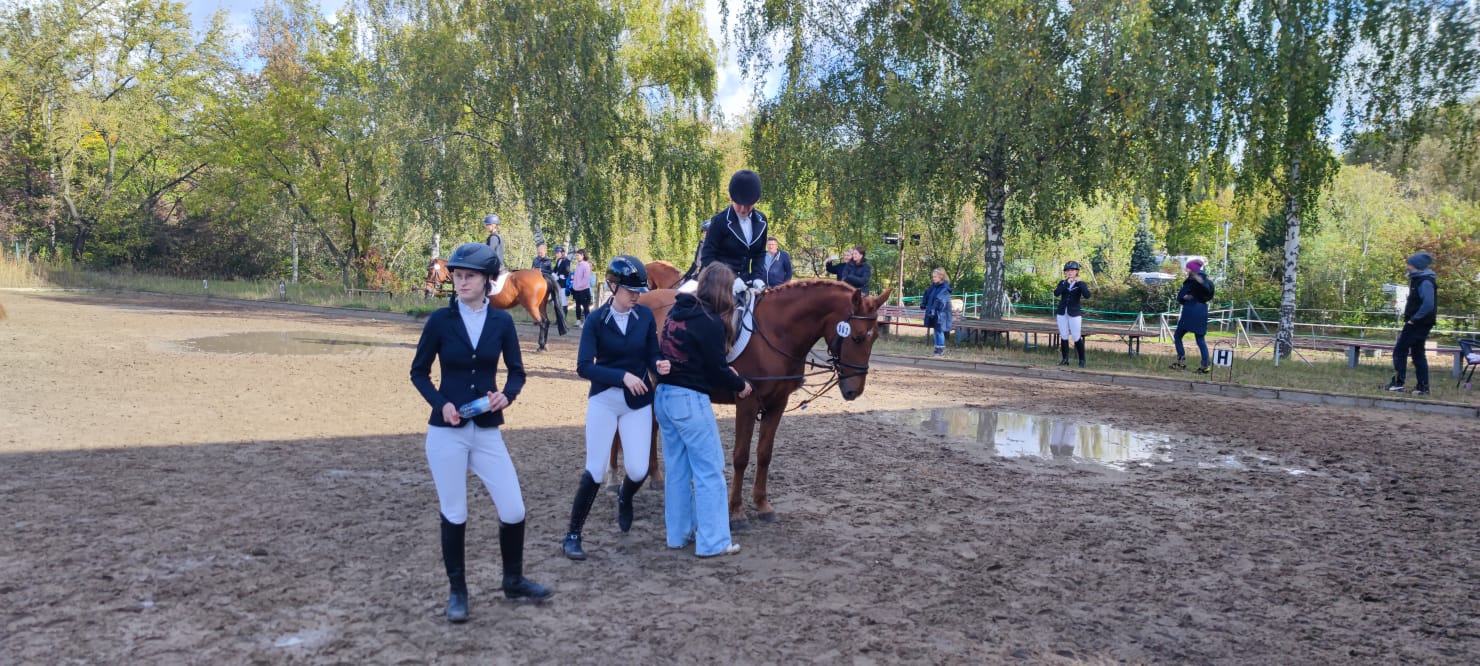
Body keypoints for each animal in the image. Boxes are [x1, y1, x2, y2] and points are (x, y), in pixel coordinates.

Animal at [424, 257, 568, 351]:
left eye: (431, 272)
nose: (427, 289)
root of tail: (541, 274)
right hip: (541, 305)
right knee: (546, 321)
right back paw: (543, 345)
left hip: (531, 306)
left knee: (542, 322)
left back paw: (541, 346)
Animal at [634, 280, 892, 528]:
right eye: (857, 337)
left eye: (875, 337)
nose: (854, 390)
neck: (776, 334)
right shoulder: (746, 404)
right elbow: (741, 457)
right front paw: (737, 512)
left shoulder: (777, 404)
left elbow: (764, 454)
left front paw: (762, 505)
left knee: (654, 424)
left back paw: (655, 476)